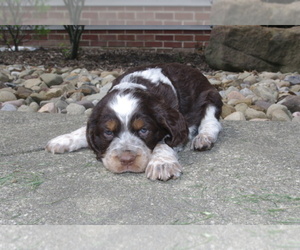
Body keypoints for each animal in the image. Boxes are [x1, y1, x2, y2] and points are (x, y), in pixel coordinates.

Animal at [45, 64, 223, 182]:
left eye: (144, 130)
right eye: (108, 132)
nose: (126, 160)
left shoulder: (181, 124)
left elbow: (163, 142)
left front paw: (162, 164)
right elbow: (84, 130)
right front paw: (62, 140)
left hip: (211, 96)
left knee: (211, 122)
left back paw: (203, 139)